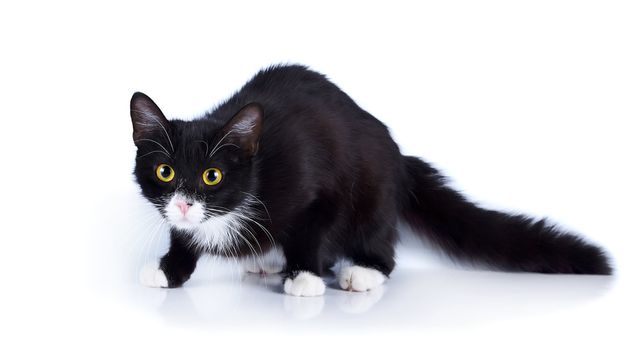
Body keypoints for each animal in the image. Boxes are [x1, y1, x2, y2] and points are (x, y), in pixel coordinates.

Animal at [129, 64, 612, 296]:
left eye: (212, 176)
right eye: (165, 171)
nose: (186, 203)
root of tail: (400, 159)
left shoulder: (319, 190)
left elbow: (311, 233)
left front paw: (305, 277)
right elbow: (183, 237)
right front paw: (168, 270)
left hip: (372, 191)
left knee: (381, 247)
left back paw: (360, 272)